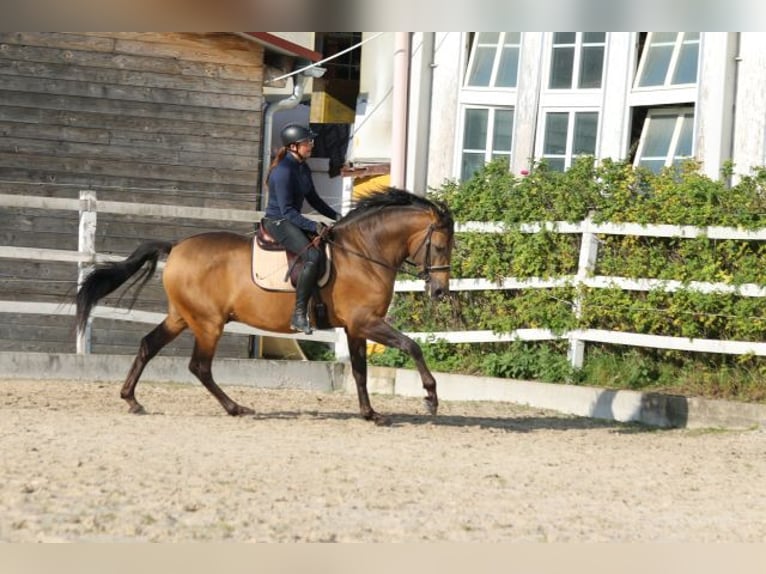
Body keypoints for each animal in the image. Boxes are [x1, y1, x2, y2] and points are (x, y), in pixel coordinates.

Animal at [76, 187, 456, 426]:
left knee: (148, 345)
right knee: (199, 366)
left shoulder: (355, 327)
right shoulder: (366, 322)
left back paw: (132, 399)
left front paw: (371, 414)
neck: (363, 253)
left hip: (182, 317)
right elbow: (412, 346)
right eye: (439, 246)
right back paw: (236, 408)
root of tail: (177, 246)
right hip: (208, 323)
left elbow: (361, 372)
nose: (440, 291)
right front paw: (431, 398)